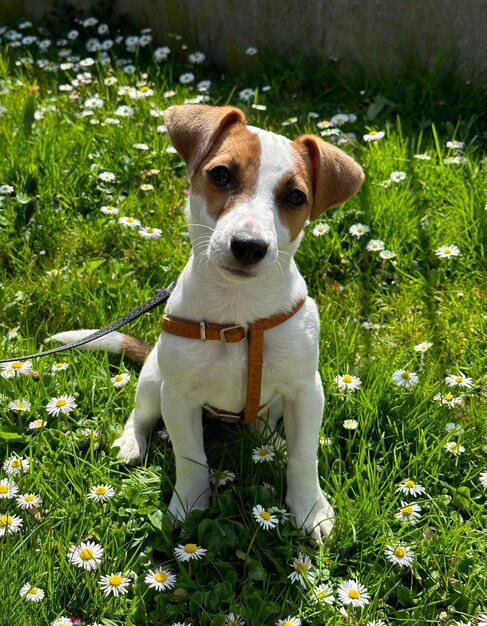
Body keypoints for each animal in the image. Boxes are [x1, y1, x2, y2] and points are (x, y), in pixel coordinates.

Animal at [51, 103, 364, 540]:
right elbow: (190, 457)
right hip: (154, 381)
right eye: (221, 174)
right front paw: (188, 504)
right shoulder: (178, 397)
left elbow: (305, 455)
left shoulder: (306, 390)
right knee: (140, 414)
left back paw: (271, 442)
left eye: (295, 196)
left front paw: (310, 508)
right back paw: (131, 442)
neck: (237, 311)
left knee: (265, 426)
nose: (249, 247)